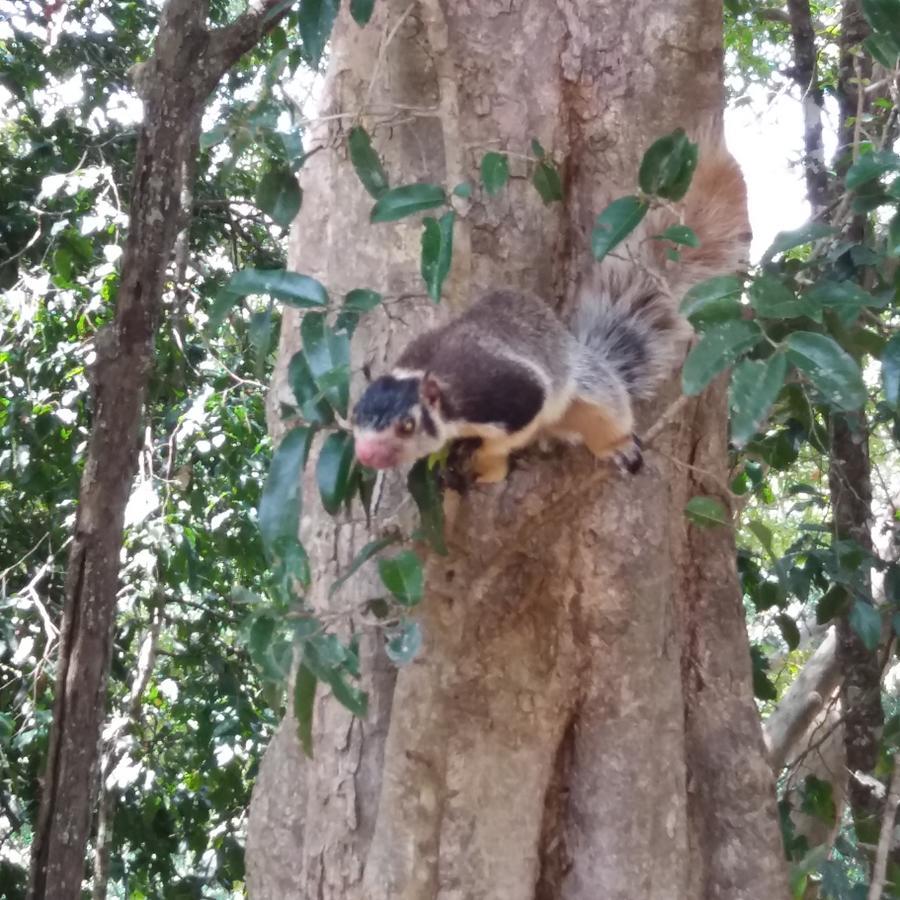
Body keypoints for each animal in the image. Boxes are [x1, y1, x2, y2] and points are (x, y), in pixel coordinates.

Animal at [348, 132, 748, 486]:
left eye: (408, 425)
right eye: (355, 415)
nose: (365, 456)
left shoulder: (506, 392)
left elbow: (513, 431)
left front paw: (481, 459)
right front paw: (447, 461)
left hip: (585, 389)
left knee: (603, 408)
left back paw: (615, 444)